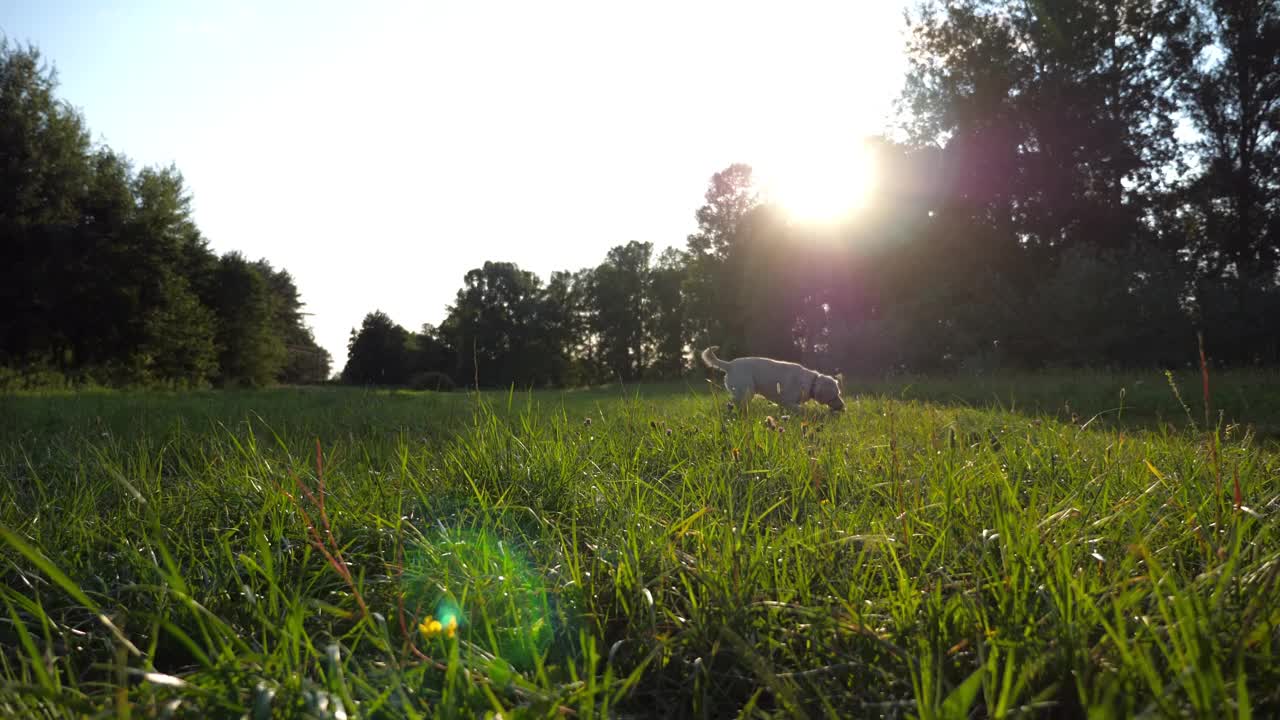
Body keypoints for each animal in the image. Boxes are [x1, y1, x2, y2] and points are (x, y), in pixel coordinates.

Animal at [696, 345, 844, 412]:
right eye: (835, 395)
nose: (844, 406)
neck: (811, 382)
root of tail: (730, 364)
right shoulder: (787, 401)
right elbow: (800, 409)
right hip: (746, 391)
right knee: (734, 404)